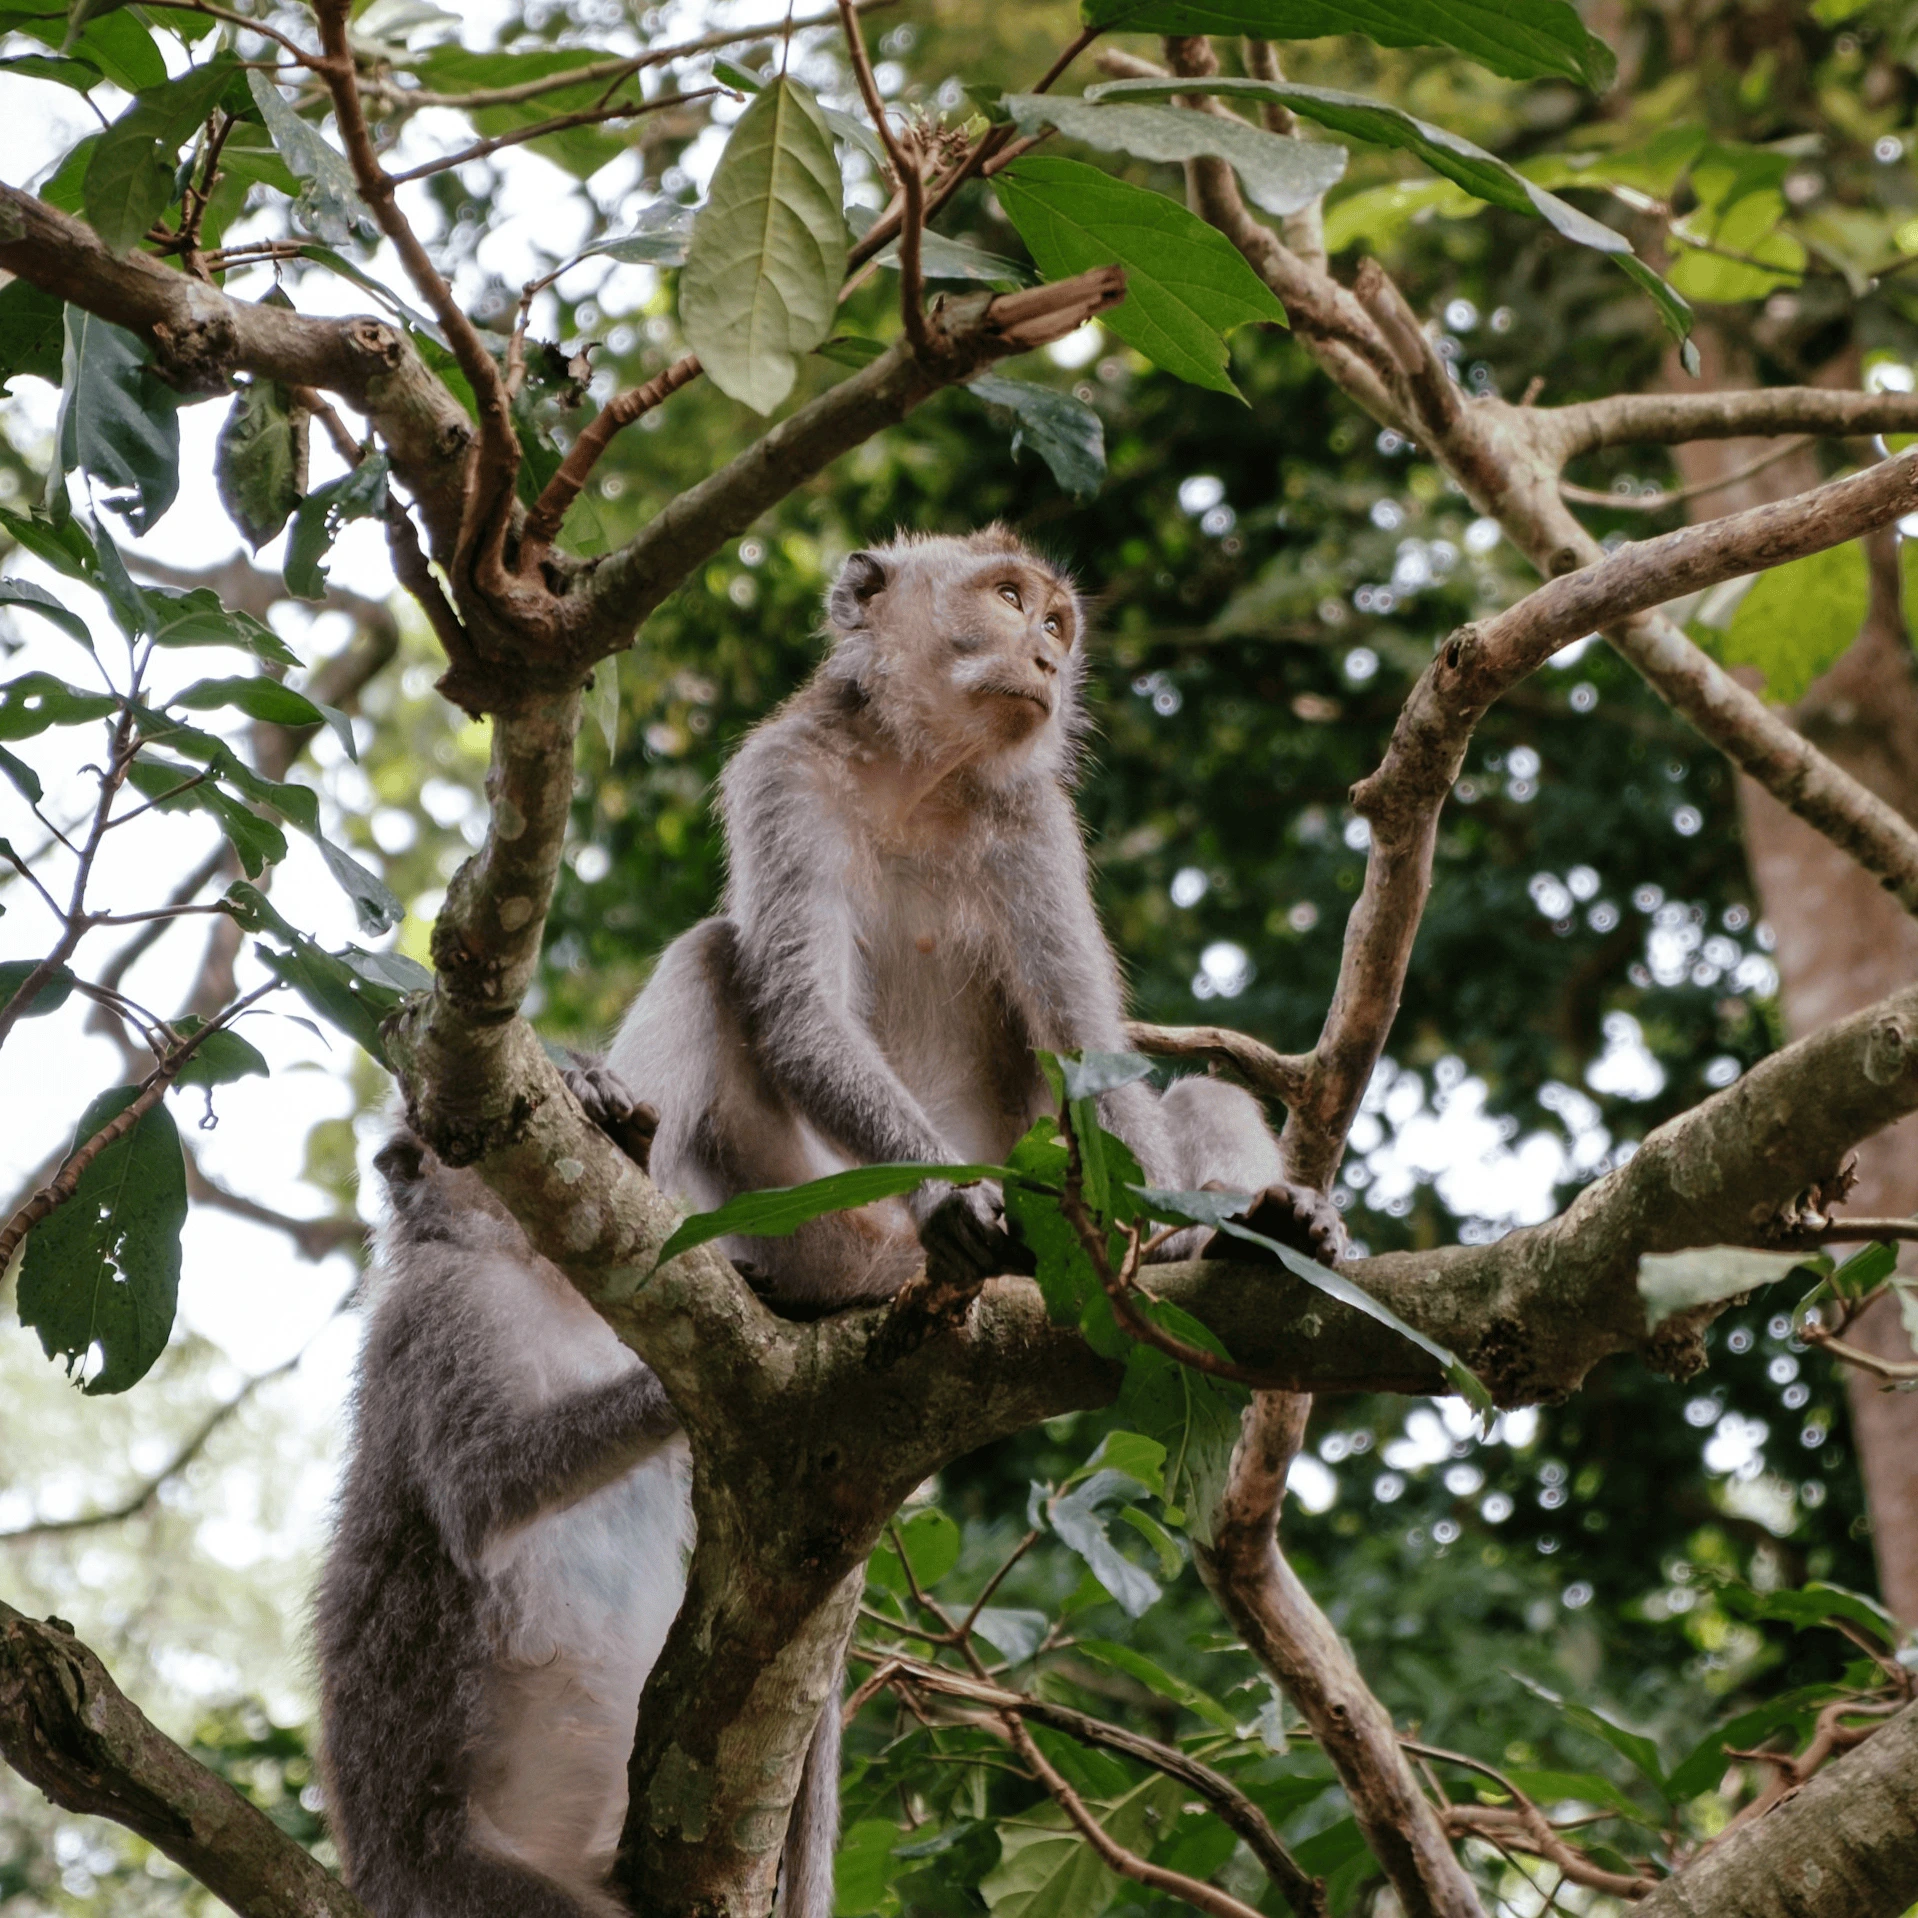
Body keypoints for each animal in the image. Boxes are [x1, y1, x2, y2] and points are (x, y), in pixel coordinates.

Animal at [317, 526, 1332, 1918]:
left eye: (1056, 618)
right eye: (1008, 599)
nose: (1049, 652)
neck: (923, 773)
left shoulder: (1034, 825)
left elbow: (1093, 1053)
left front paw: (1184, 1233)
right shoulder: (780, 773)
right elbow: (794, 1001)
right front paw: (958, 1200)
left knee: (1196, 1094)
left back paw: (1242, 1230)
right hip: (798, 1214)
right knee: (712, 955)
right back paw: (637, 1139)